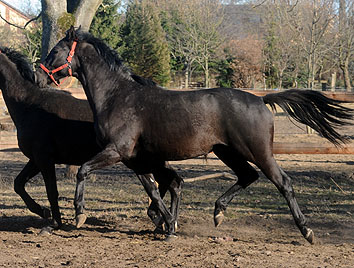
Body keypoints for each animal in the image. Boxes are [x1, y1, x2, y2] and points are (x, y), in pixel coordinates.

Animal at [0, 46, 183, 232]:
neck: (29, 104)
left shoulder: (44, 158)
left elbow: (52, 191)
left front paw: (54, 224)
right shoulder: (36, 159)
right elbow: (18, 184)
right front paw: (44, 212)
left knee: (168, 182)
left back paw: (163, 221)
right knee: (172, 182)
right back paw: (165, 222)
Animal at [36, 27, 354, 243]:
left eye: (55, 51)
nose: (38, 77)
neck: (118, 97)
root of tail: (261, 100)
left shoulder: (118, 152)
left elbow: (84, 171)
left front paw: (80, 214)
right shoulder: (135, 159)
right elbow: (155, 190)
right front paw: (168, 224)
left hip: (258, 151)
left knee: (282, 182)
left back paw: (307, 230)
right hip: (227, 152)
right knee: (247, 176)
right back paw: (218, 213)